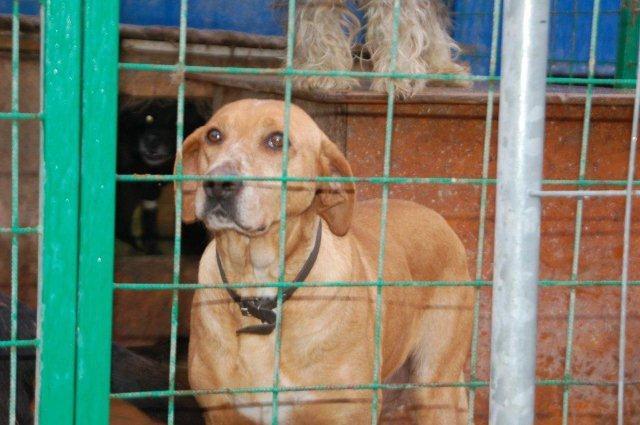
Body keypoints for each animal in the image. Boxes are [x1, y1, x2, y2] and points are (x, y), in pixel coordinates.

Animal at [176, 99, 473, 423]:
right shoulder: (221, 412)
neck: (260, 290)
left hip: (434, 392)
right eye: (214, 135)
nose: (218, 183)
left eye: (277, 141)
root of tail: (434, 215)